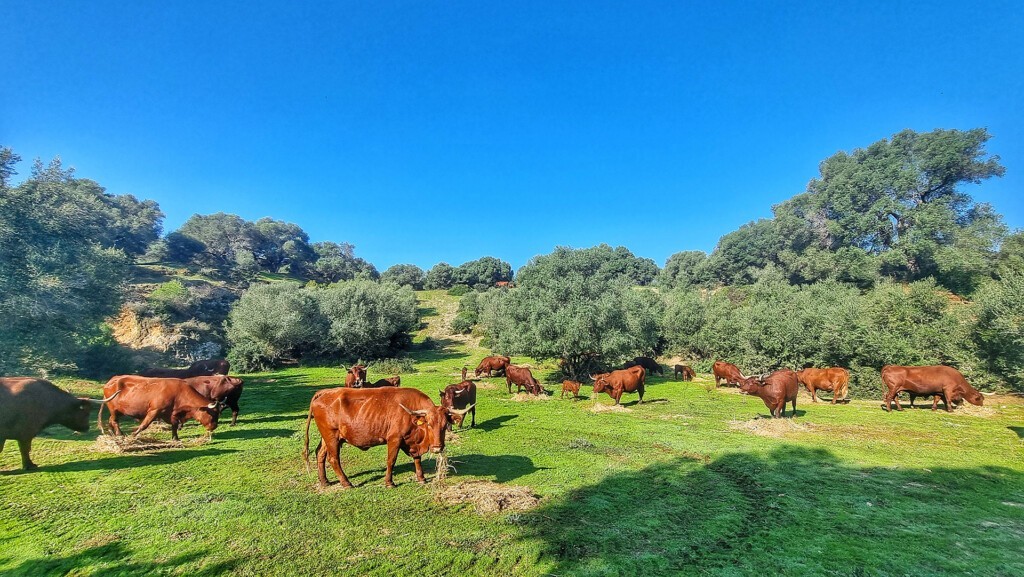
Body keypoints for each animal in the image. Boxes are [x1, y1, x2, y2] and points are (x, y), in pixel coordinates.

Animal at [303, 387, 473, 488]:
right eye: (429, 424)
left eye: (445, 425)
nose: (437, 448)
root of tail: (325, 392)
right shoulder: (394, 439)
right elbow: (391, 460)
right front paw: (389, 482)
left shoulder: (412, 442)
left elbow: (417, 459)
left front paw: (421, 477)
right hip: (332, 437)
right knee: (333, 459)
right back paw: (346, 483)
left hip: (328, 437)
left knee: (320, 454)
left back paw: (324, 481)